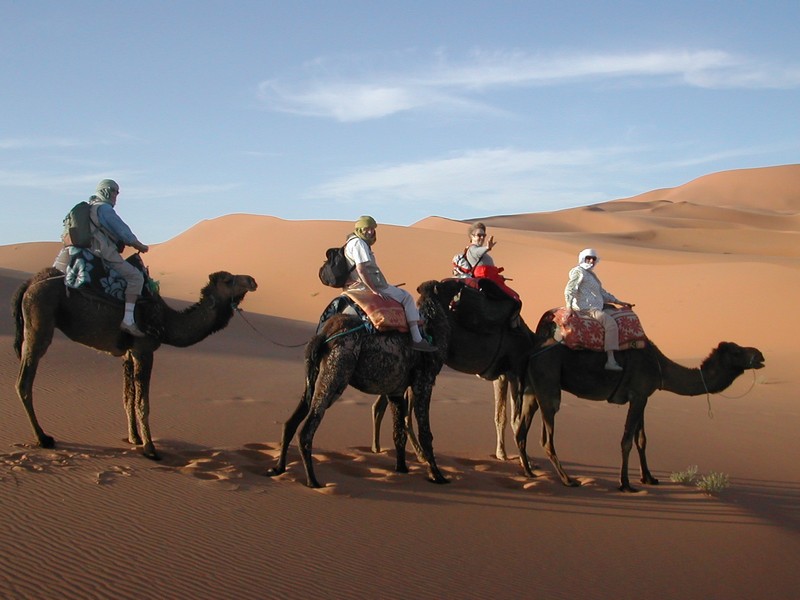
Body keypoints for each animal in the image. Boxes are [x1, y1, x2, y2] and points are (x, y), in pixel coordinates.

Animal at [11, 264, 256, 458]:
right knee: (24, 382)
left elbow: (128, 398)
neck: (167, 322)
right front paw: (150, 448)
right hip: (39, 324)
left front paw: (134, 438)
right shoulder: (144, 350)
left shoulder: (129, 353)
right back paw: (43, 438)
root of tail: (29, 283)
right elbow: (143, 402)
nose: (252, 280)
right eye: (228, 280)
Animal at [268, 282, 454, 488]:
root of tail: (323, 334)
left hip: (313, 376)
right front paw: (437, 476)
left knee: (290, 423)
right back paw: (313, 481)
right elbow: (425, 433)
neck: (432, 332)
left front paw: (401, 469)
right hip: (336, 373)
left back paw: (279, 468)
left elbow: (398, 433)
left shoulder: (396, 391)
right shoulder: (424, 382)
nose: (461, 284)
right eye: (449, 284)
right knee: (306, 430)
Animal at [372, 276, 536, 460]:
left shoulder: (502, 374)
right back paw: (420, 454)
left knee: (382, 404)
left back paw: (378, 448)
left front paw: (502, 454)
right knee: (405, 415)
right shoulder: (515, 370)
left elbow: (500, 416)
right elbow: (515, 419)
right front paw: (522, 460)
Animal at [516, 310, 764, 492]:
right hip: (549, 386)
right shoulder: (637, 395)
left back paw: (529, 472)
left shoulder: (642, 396)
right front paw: (625, 484)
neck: (660, 366)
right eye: (736, 351)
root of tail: (533, 350)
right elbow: (626, 440)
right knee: (546, 438)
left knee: (521, 430)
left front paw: (649, 478)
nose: (760, 355)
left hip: (531, 390)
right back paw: (568, 480)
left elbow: (642, 439)